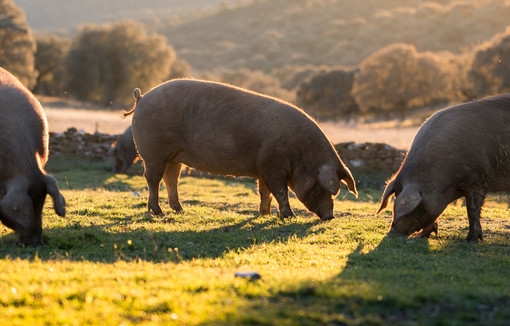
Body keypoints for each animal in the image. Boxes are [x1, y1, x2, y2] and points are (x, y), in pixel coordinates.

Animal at [124, 79, 356, 220]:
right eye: (321, 187)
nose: (330, 216)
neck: (300, 154)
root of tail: (141, 97)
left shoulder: (263, 167)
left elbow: (264, 192)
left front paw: (265, 215)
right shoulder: (273, 165)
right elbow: (280, 191)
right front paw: (289, 216)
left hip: (174, 156)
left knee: (171, 178)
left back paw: (180, 210)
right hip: (153, 153)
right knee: (152, 179)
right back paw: (158, 213)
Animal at [376, 94, 510, 242]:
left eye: (414, 208)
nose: (390, 233)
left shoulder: (476, 180)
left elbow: (472, 209)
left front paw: (471, 241)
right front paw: (420, 236)